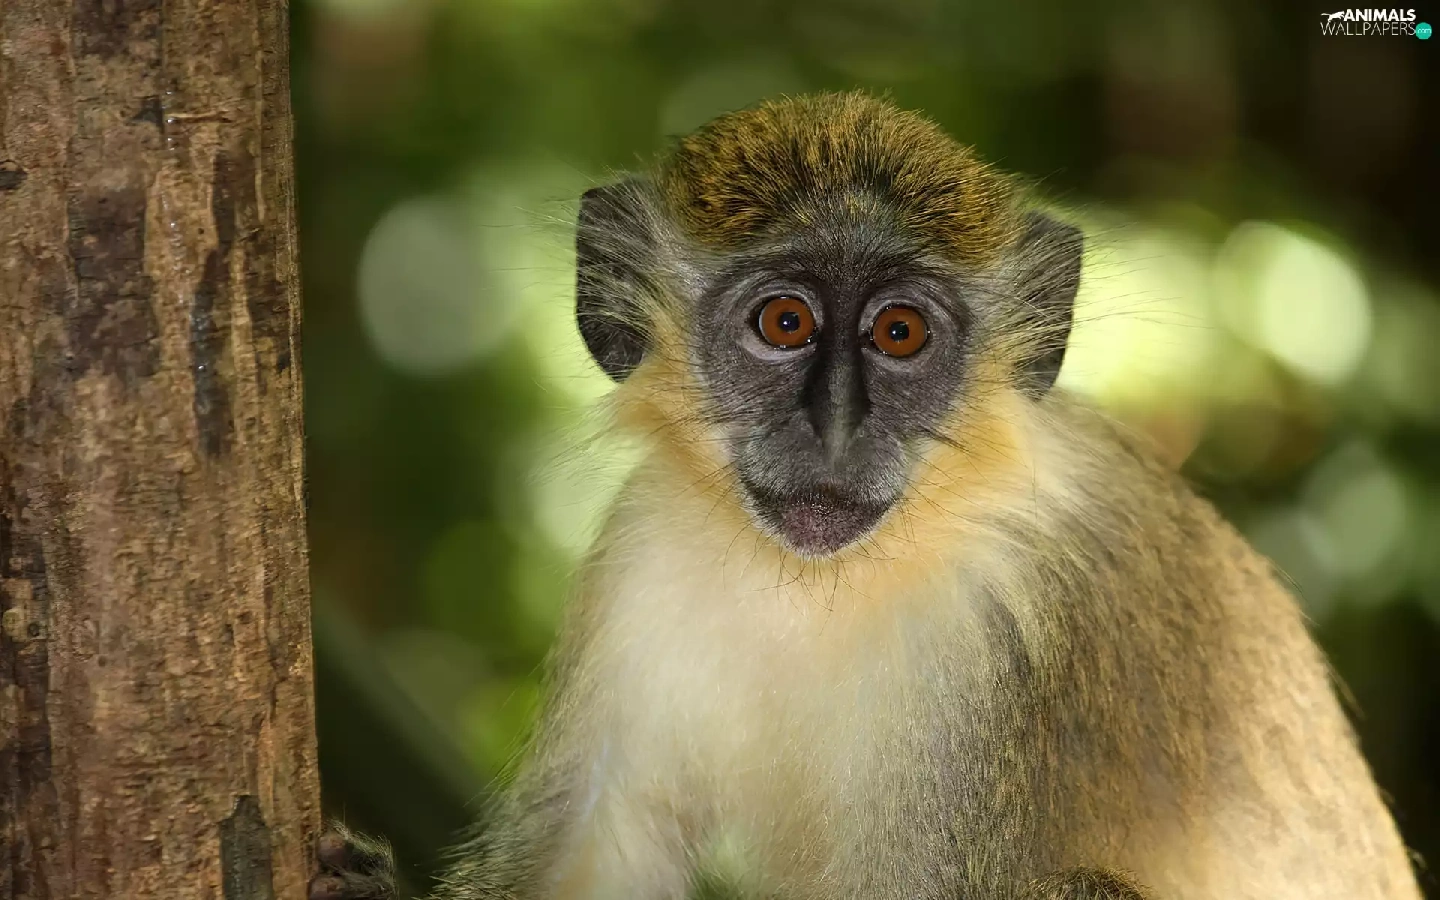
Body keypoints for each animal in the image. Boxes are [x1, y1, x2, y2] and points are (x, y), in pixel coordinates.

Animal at [310, 92, 1422, 900]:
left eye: (899, 334)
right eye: (786, 321)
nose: (837, 428)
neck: (822, 589)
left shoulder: (1002, 644)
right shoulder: (635, 566)